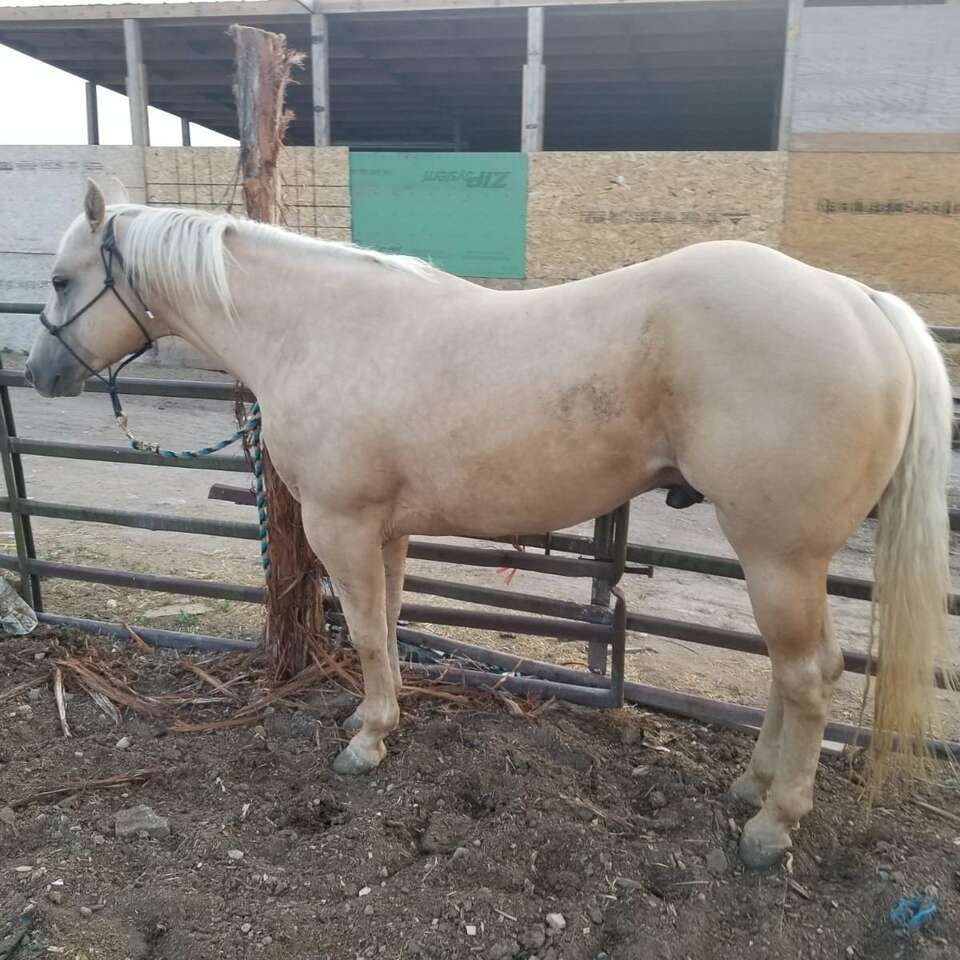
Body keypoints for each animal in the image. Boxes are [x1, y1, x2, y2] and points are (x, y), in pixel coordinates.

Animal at [26, 179, 954, 869]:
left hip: (778, 555)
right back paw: (752, 788)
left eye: (63, 279)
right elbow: (388, 624)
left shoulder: (341, 525)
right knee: (791, 677)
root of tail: (861, 302)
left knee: (808, 678)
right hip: (778, 559)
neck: (316, 327)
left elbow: (367, 633)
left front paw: (367, 744)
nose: (36, 373)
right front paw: (376, 719)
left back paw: (771, 826)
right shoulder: (385, 532)